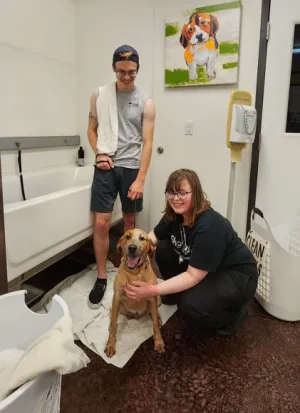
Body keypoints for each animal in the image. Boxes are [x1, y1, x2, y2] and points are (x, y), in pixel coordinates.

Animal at [103, 227, 164, 356]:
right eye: (127, 236)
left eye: (142, 238)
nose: (132, 247)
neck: (134, 272)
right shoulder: (117, 296)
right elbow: (114, 324)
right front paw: (110, 344)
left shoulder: (152, 298)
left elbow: (155, 324)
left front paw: (158, 341)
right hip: (116, 305)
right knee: (113, 316)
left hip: (158, 299)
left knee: (154, 313)